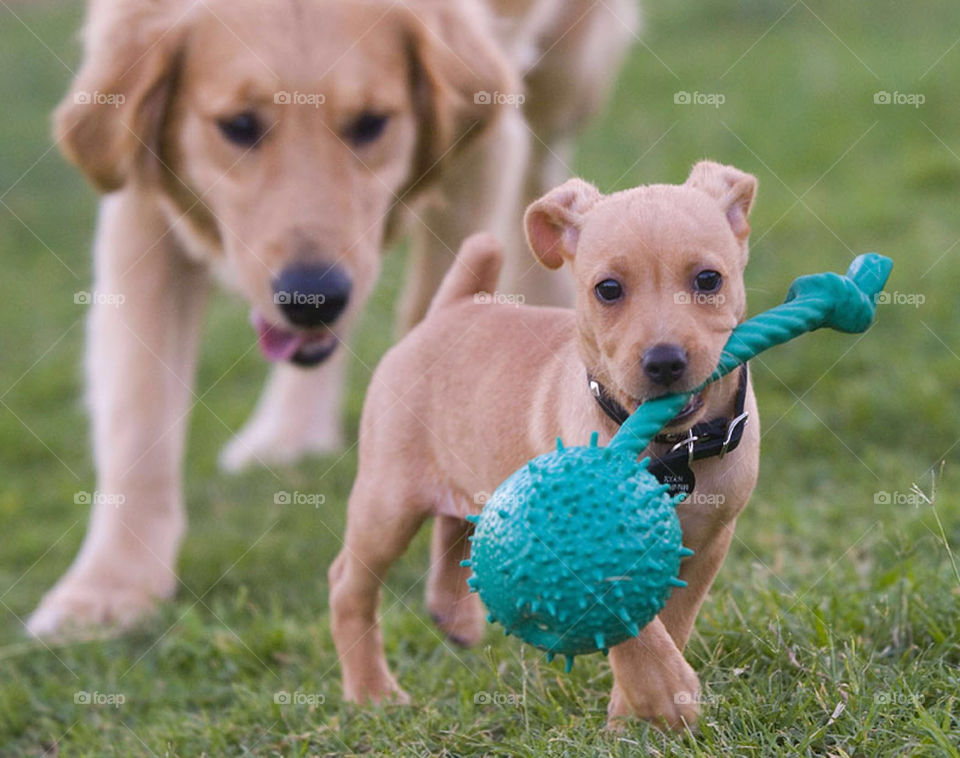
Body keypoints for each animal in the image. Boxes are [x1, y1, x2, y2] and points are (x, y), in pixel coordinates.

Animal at [334, 163, 760, 732]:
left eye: (708, 280)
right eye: (608, 289)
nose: (665, 361)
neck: (672, 447)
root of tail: (453, 307)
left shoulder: (709, 542)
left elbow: (671, 621)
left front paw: (632, 716)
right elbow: (636, 629)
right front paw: (663, 696)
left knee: (456, 521)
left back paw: (453, 614)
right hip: (387, 502)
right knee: (348, 586)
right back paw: (372, 692)